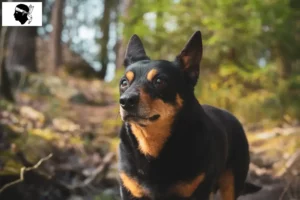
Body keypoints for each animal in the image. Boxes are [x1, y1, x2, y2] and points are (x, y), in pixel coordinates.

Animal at [117, 30, 260, 199]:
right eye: (124, 83)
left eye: (159, 81)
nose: (126, 101)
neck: (152, 148)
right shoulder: (129, 189)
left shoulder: (200, 189)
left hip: (231, 183)